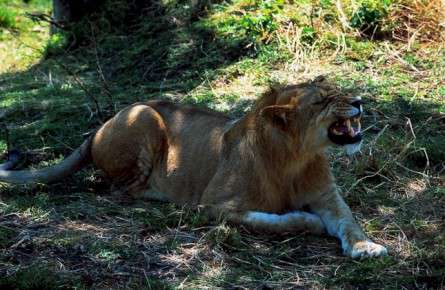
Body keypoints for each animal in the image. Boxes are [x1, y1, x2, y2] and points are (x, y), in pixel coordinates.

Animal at [0, 76, 386, 258]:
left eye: (340, 91)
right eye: (323, 101)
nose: (358, 101)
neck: (294, 157)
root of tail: (99, 125)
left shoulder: (328, 196)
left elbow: (348, 221)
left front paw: (366, 247)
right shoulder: (214, 205)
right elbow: (273, 220)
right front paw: (310, 222)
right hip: (145, 116)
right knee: (123, 188)